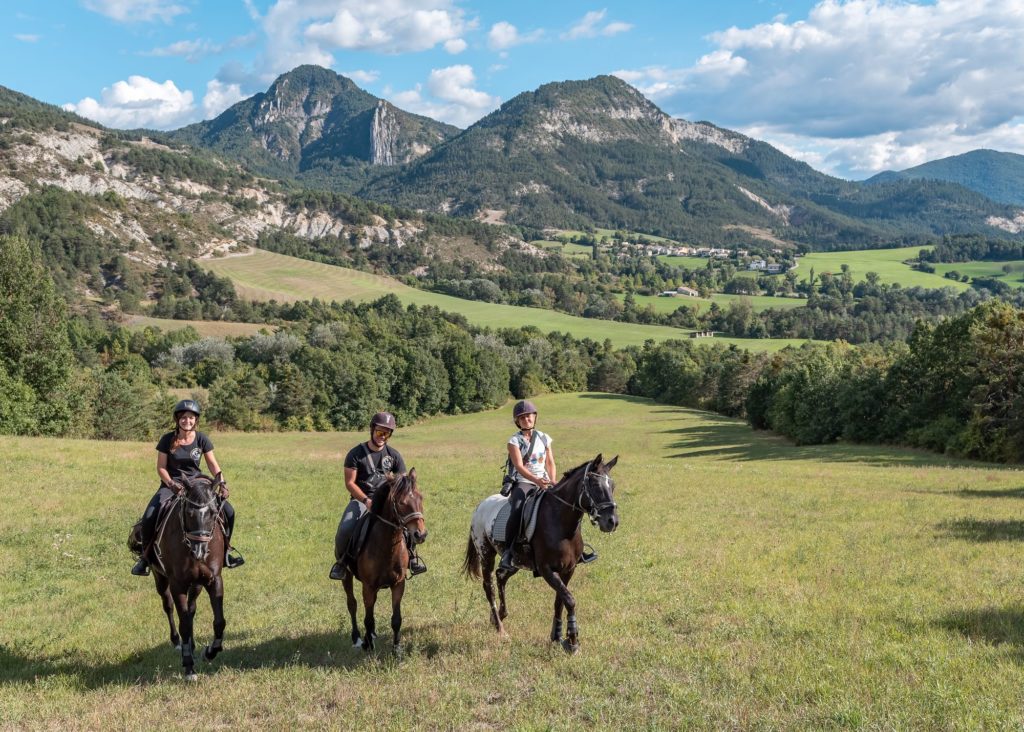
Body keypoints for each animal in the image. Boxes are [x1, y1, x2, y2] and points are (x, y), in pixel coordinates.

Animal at [342, 472, 425, 655]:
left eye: (420, 498)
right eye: (401, 502)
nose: (421, 534)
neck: (387, 545)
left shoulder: (398, 584)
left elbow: (396, 619)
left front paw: (397, 649)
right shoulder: (368, 586)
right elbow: (368, 618)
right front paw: (368, 645)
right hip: (346, 577)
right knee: (352, 604)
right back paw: (357, 638)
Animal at [462, 454, 614, 655]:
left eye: (612, 486)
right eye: (596, 486)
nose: (612, 521)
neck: (560, 523)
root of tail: (480, 506)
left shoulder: (568, 569)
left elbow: (560, 601)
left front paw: (557, 636)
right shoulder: (546, 569)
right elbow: (570, 600)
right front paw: (573, 641)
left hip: (515, 562)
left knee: (501, 577)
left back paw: (499, 617)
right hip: (486, 555)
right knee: (489, 588)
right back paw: (500, 629)